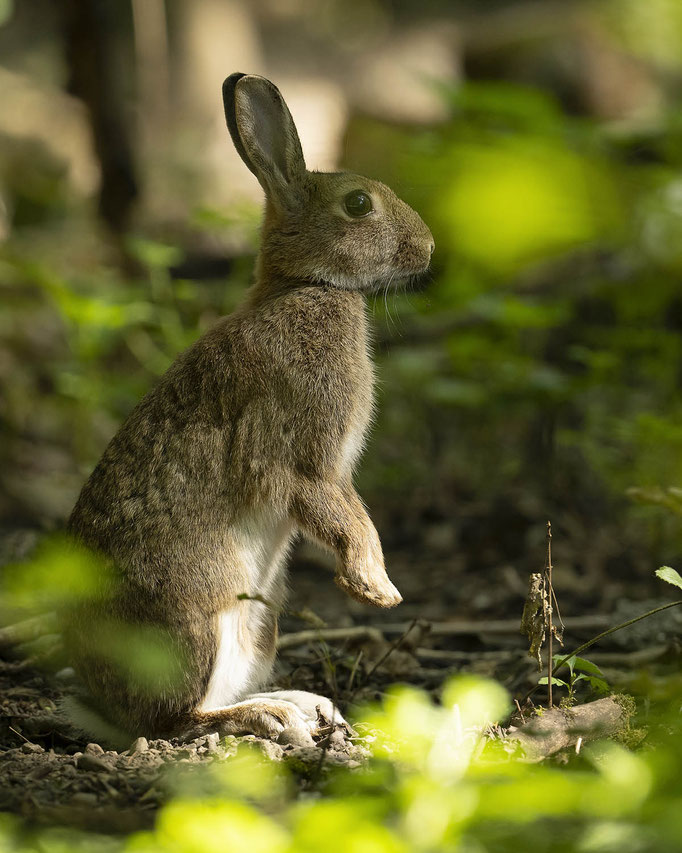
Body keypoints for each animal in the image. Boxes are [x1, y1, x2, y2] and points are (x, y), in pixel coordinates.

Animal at [65, 73, 436, 744]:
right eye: (359, 205)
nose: (428, 247)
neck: (306, 286)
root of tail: (104, 709)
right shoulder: (305, 455)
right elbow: (338, 512)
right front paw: (378, 589)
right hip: (201, 615)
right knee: (178, 718)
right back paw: (273, 715)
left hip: (261, 623)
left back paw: (302, 704)